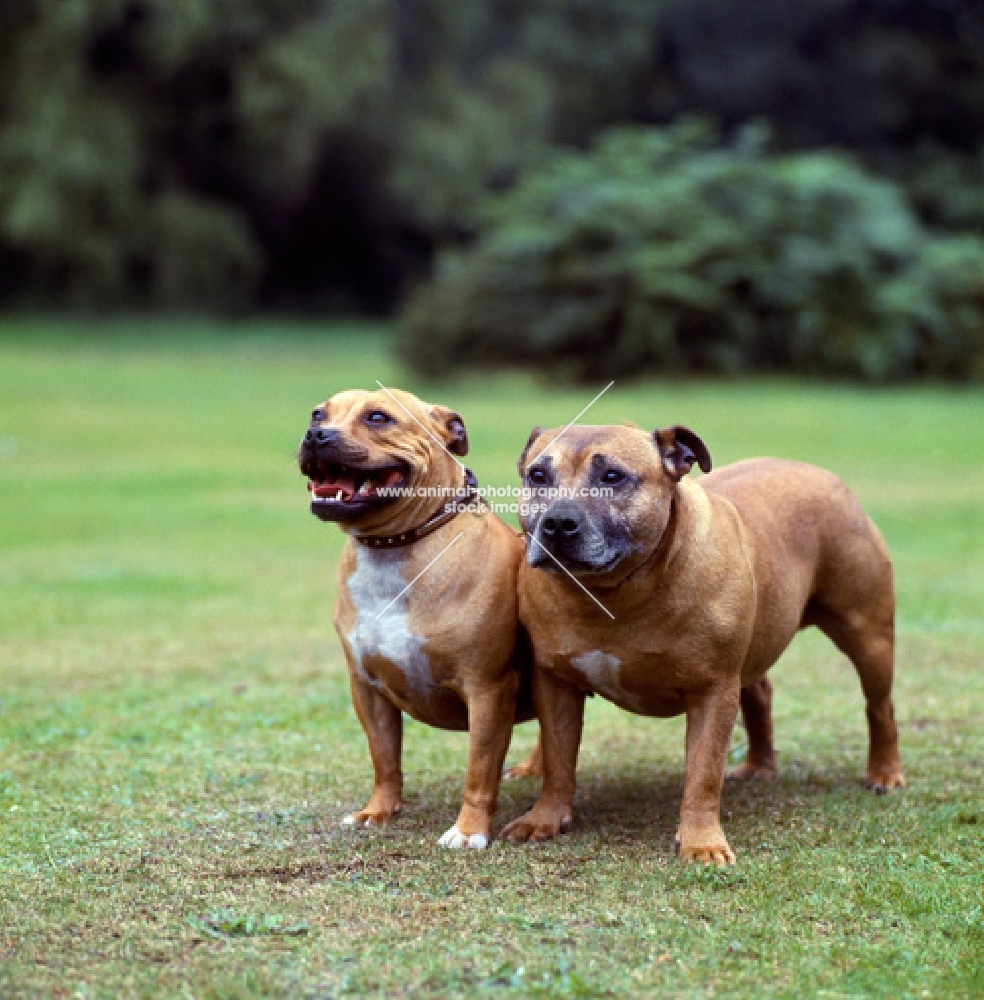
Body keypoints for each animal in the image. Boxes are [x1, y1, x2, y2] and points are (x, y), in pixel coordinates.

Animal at [298, 386, 540, 848]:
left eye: (378, 417)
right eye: (318, 414)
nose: (316, 434)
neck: (394, 545)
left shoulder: (488, 689)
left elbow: (479, 769)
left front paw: (469, 831)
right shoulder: (367, 688)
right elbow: (384, 758)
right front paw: (377, 812)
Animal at [504, 422, 904, 860]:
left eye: (612, 476)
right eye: (537, 476)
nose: (558, 522)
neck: (609, 594)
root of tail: (824, 476)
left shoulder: (713, 690)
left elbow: (703, 773)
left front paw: (701, 842)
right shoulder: (555, 683)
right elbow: (559, 759)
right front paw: (543, 818)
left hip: (868, 635)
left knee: (879, 706)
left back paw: (885, 772)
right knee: (760, 691)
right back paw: (759, 765)